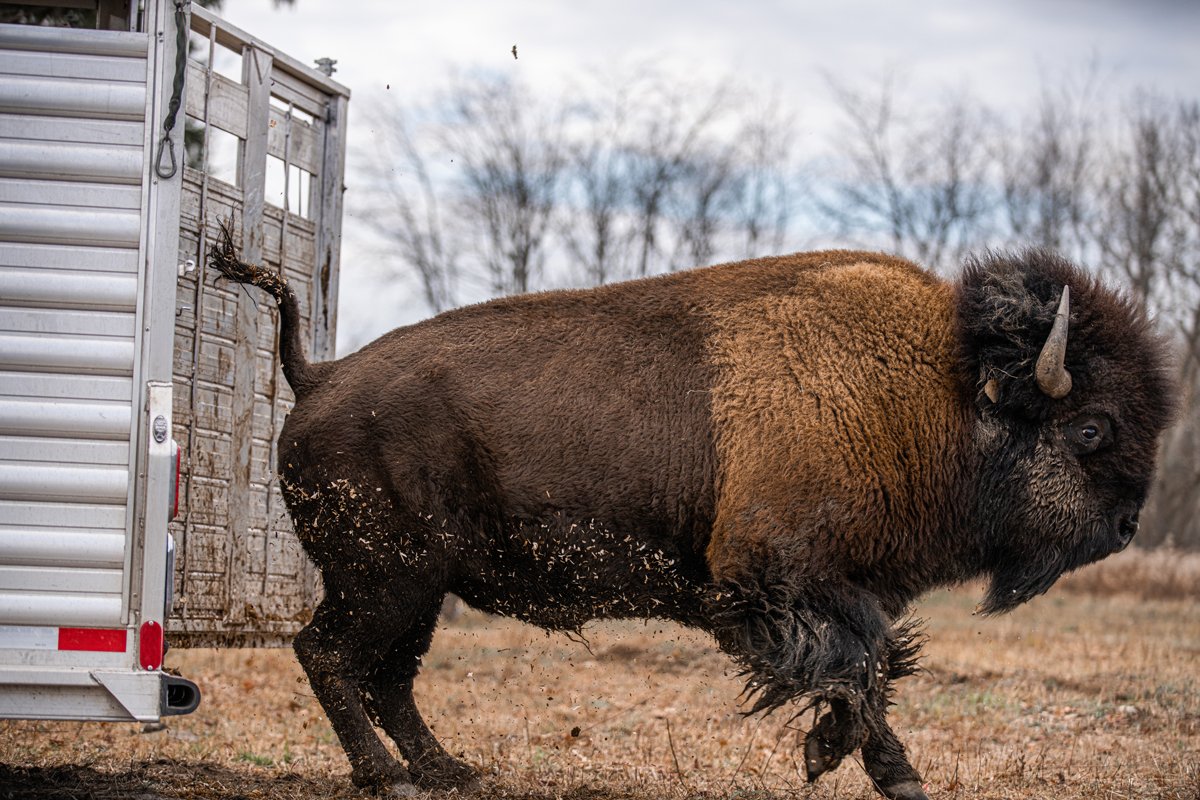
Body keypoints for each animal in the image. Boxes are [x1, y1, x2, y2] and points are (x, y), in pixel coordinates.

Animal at [211, 227, 1176, 796]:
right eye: (1091, 426)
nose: (1128, 525)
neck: (940, 393)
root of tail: (321, 377)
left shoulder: (842, 593)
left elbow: (871, 672)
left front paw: (866, 765)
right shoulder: (777, 585)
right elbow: (859, 671)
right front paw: (864, 765)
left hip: (415, 590)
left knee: (388, 678)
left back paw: (451, 769)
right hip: (384, 581)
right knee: (330, 657)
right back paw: (393, 777)